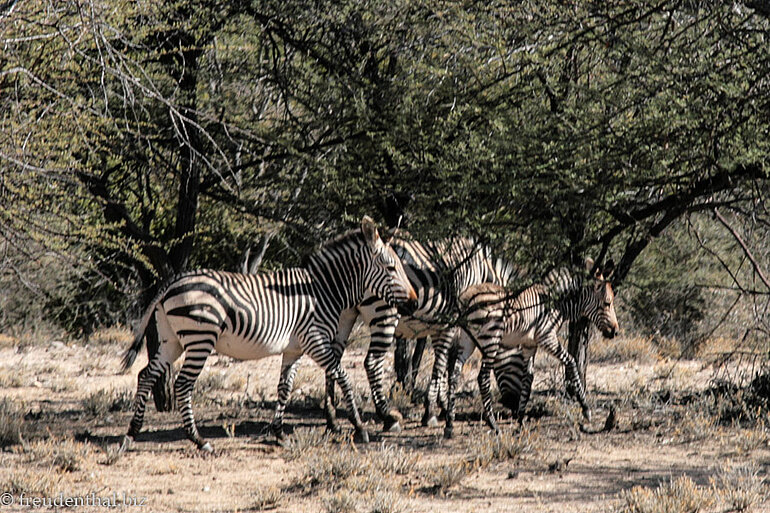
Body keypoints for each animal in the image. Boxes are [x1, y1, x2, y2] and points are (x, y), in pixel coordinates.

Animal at [119, 216, 417, 452]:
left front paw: (278, 432)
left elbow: (284, 387)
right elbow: (342, 376)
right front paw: (359, 426)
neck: (323, 290)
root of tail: (171, 282)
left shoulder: (295, 348)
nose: (414, 303)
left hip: (172, 341)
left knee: (146, 375)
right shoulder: (315, 340)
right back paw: (199, 440)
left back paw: (131, 434)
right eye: (392, 268)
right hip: (199, 339)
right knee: (182, 384)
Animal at [324, 234, 518, 433]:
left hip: (343, 313)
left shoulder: (439, 324)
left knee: (332, 359)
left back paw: (331, 420)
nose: (514, 409)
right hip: (384, 312)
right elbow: (443, 364)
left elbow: (443, 363)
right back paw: (388, 417)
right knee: (371, 362)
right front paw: (432, 411)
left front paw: (442, 405)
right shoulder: (452, 322)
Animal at [442, 258, 618, 439]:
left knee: (454, 374)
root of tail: (464, 298)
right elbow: (571, 361)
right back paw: (493, 424)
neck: (556, 303)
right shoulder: (547, 337)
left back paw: (449, 424)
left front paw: (520, 420)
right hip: (491, 339)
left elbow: (528, 378)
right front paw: (586, 409)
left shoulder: (529, 345)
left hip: (467, 341)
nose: (615, 331)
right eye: (607, 303)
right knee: (482, 377)